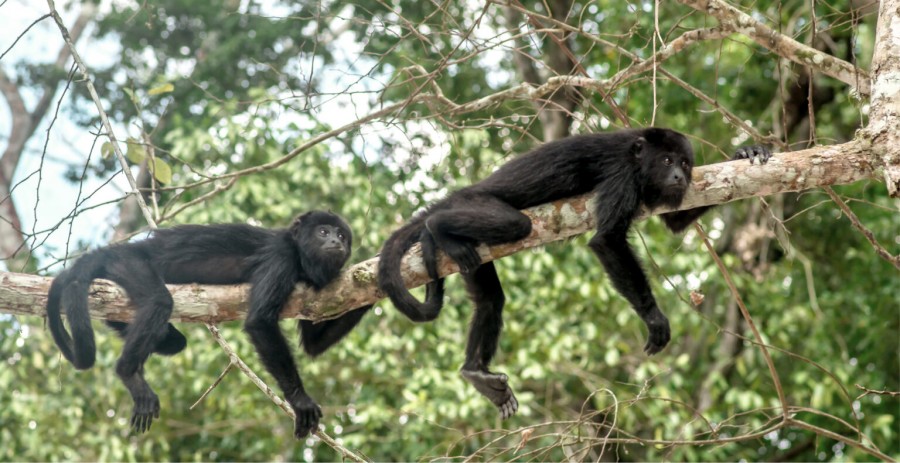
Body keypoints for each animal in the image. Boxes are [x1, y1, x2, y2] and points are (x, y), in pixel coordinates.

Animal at [376, 127, 768, 420]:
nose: (678, 176)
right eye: (668, 160)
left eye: (686, 164)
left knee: (490, 300)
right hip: (474, 204)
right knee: (513, 224)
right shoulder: (622, 174)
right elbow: (607, 241)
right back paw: (435, 227)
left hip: (472, 257)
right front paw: (654, 318)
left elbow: (673, 222)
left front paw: (744, 153)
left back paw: (475, 371)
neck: (638, 157)